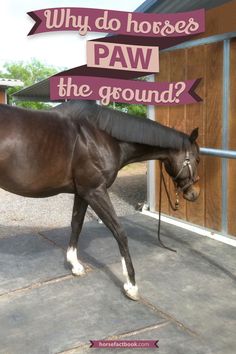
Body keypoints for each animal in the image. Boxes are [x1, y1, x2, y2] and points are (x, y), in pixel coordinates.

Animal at [0, 101, 200, 300]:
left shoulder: (82, 192)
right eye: (197, 159)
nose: (194, 194)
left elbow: (77, 224)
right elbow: (119, 232)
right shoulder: (95, 191)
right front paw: (131, 285)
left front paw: (75, 265)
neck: (99, 136)